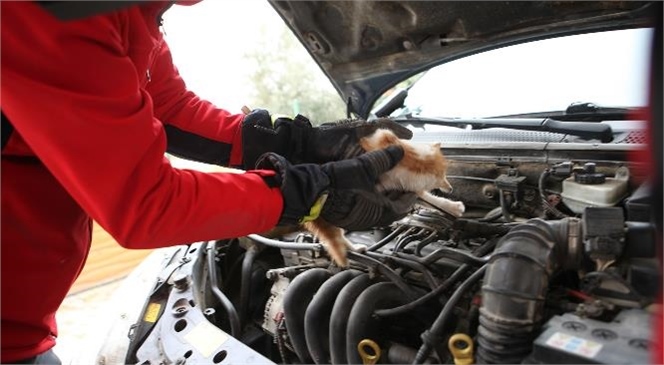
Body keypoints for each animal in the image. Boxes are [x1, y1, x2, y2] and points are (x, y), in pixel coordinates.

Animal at [304, 129, 464, 268]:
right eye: (442, 176)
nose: (451, 188)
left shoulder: (404, 188)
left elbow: (429, 199)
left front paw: (452, 207)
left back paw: (354, 249)